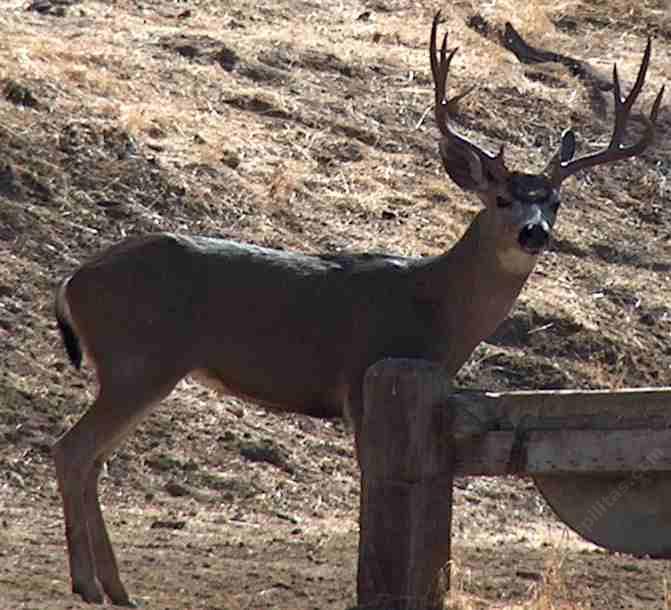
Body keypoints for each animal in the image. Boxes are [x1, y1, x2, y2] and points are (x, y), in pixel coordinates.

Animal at [52, 13, 663, 606]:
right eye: (502, 198)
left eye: (555, 202)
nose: (534, 233)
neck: (436, 306)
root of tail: (71, 281)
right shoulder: (364, 383)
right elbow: (376, 481)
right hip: (139, 360)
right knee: (72, 449)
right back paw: (89, 584)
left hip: (135, 367)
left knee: (92, 457)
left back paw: (115, 589)